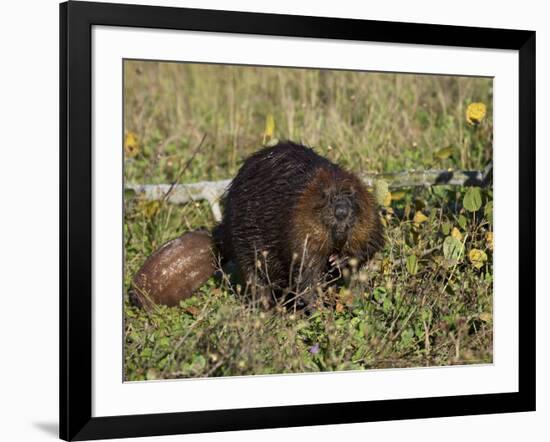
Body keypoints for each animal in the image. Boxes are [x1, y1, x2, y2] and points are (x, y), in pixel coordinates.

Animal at [213, 140, 386, 310]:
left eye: (352, 194)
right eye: (326, 195)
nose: (341, 211)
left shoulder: (370, 218)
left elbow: (371, 243)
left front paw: (339, 259)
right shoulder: (297, 225)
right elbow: (306, 268)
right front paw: (318, 308)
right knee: (255, 278)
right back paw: (270, 309)